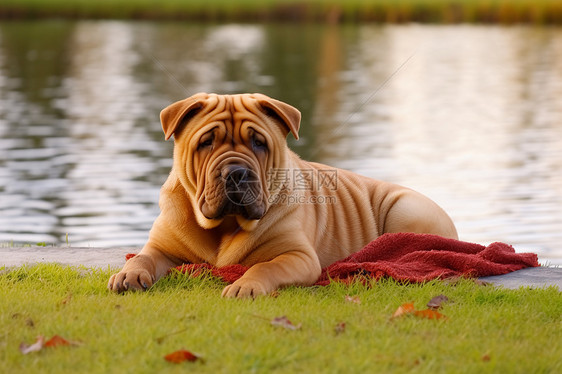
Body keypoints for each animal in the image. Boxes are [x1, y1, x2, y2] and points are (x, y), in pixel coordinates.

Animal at [107, 93, 458, 298]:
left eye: (259, 142)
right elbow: (142, 256)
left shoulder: (296, 256)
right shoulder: (162, 246)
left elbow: (265, 267)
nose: (236, 171)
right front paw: (128, 274)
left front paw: (245, 285)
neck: (224, 227)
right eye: (206, 142)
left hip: (405, 209)